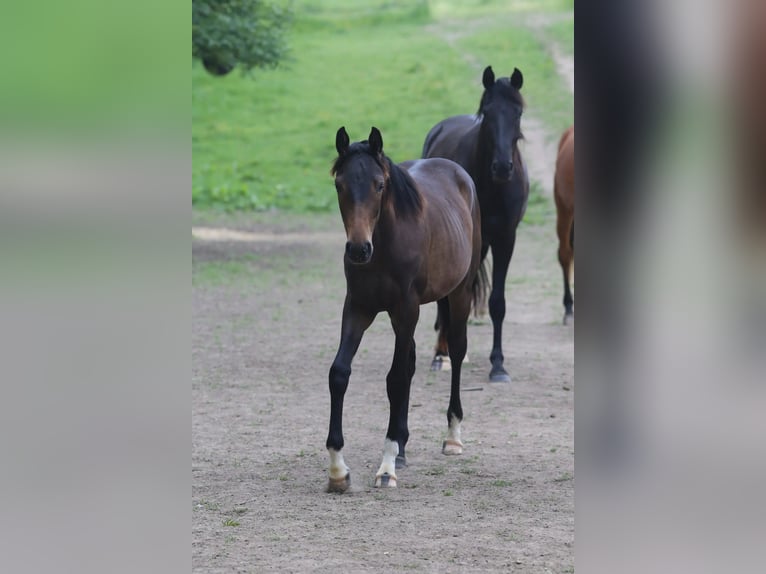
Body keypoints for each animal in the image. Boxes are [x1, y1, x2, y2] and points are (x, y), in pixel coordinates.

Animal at [326, 127, 486, 496]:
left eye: (378, 185)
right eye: (340, 184)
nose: (358, 249)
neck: (384, 246)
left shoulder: (405, 310)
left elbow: (396, 379)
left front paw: (385, 468)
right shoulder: (358, 308)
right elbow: (339, 373)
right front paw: (338, 470)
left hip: (457, 294)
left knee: (456, 352)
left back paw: (452, 437)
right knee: (411, 362)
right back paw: (402, 446)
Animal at [424, 65, 532, 384]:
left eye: (518, 112)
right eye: (487, 112)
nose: (503, 167)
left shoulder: (505, 239)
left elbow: (497, 303)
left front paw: (498, 366)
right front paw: (443, 354)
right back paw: (442, 353)